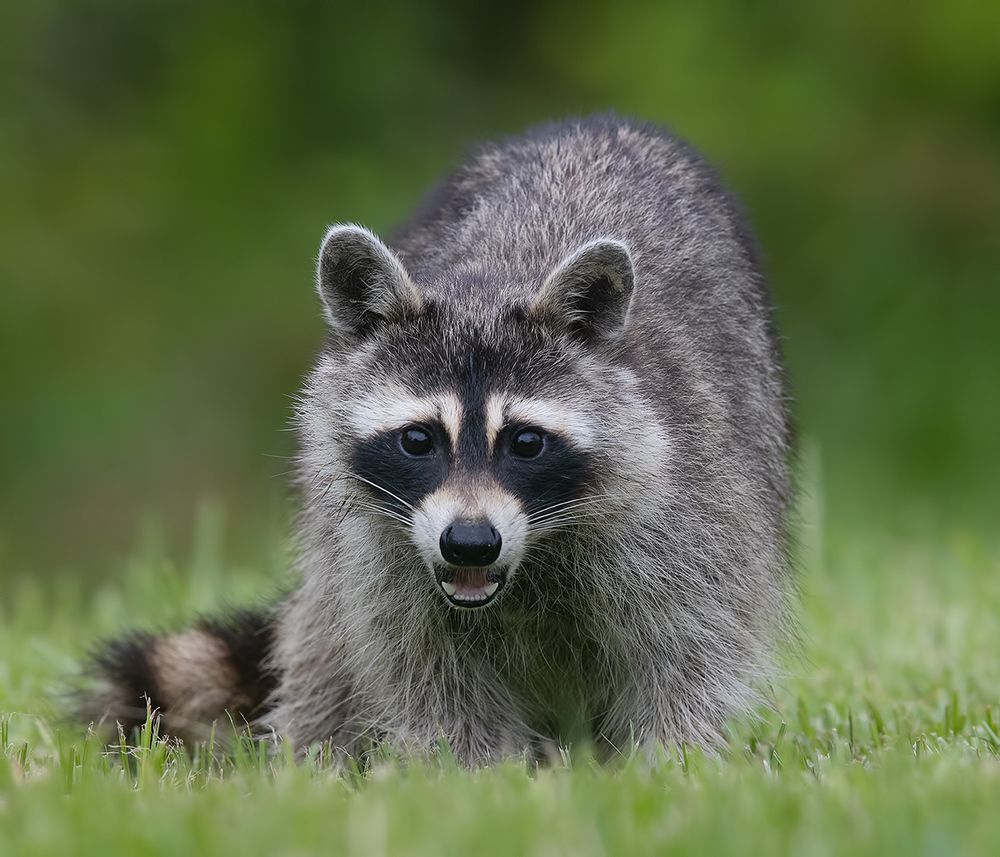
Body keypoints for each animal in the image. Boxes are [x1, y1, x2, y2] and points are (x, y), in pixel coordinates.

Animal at [81, 115, 792, 762]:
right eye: (418, 441)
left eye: (526, 443)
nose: (470, 543)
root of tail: (604, 124)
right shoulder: (381, 554)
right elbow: (428, 678)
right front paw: (476, 780)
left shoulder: (685, 514)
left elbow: (688, 658)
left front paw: (668, 767)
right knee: (323, 640)